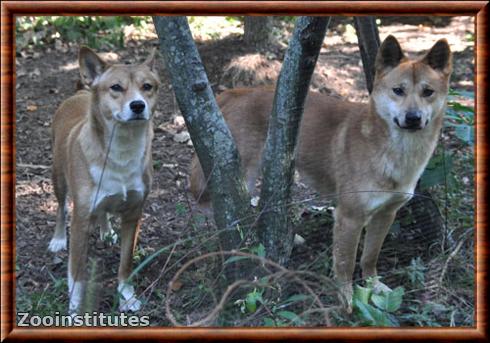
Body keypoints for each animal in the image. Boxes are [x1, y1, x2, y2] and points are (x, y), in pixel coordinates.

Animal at [48, 46, 159, 314]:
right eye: (116, 87)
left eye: (147, 86)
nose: (138, 105)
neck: (122, 152)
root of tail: (81, 91)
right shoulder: (80, 220)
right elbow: (76, 274)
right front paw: (75, 309)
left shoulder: (133, 214)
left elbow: (126, 264)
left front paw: (127, 297)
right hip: (58, 178)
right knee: (60, 207)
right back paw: (58, 239)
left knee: (104, 212)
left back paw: (107, 231)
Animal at [190, 37, 452, 312]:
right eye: (398, 90)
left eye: (428, 92)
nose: (413, 118)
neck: (392, 151)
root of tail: (237, 91)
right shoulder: (349, 217)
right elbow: (345, 263)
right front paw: (346, 298)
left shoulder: (386, 214)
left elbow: (370, 256)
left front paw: (373, 285)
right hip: (243, 174)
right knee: (224, 210)